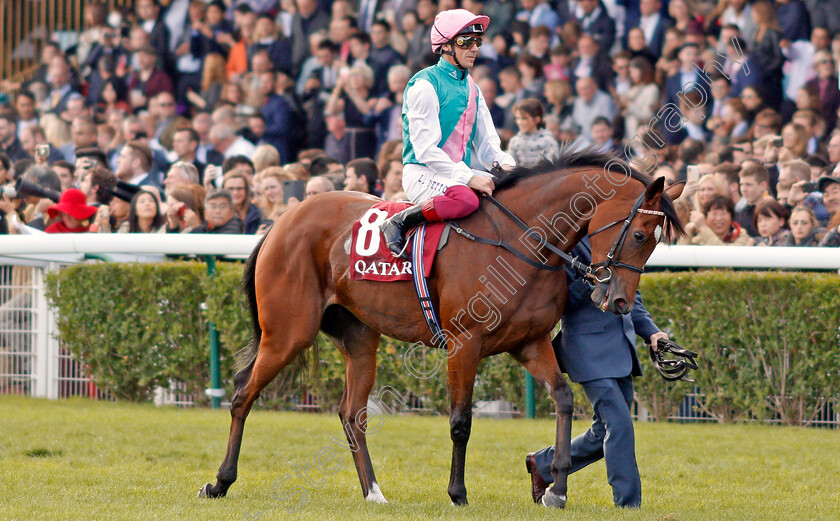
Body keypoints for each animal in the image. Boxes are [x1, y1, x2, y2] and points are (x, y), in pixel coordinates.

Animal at [199, 147, 684, 508]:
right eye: (640, 235)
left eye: (655, 242)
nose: (618, 302)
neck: (520, 241)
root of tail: (282, 221)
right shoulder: (463, 343)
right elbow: (460, 421)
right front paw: (457, 492)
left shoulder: (530, 343)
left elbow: (564, 400)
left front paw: (557, 489)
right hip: (288, 332)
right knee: (242, 394)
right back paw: (219, 481)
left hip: (359, 338)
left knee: (351, 413)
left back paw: (374, 492)